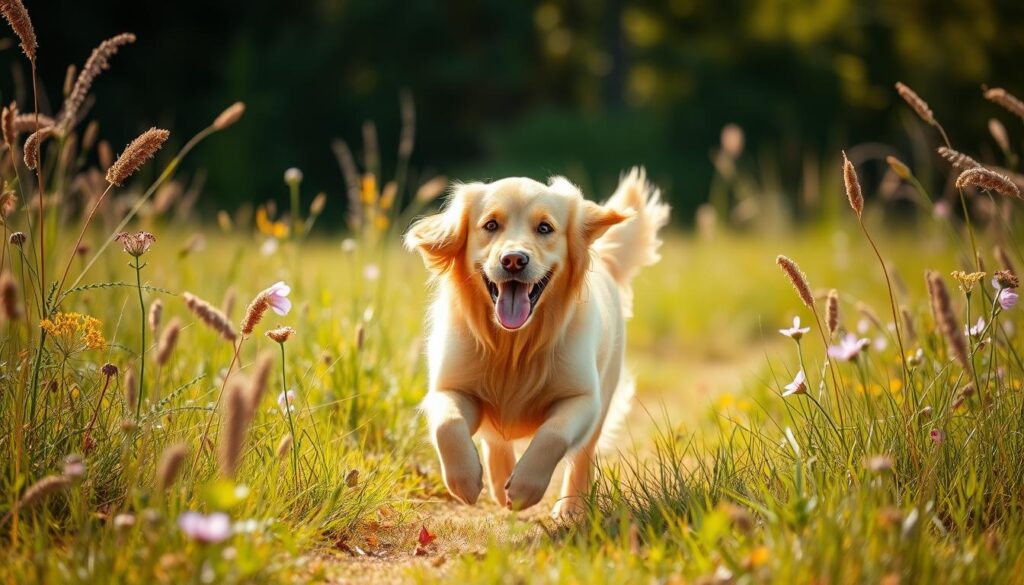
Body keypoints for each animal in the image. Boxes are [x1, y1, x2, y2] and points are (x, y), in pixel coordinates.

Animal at [407, 165, 671, 516]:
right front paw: (464, 480)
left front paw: (524, 488)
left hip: (604, 395)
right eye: (490, 225)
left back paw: (570, 507)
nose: (513, 260)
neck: (513, 344)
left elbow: (553, 435)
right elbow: (448, 424)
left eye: (545, 228)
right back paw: (498, 480)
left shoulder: (584, 399)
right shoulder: (449, 387)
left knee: (582, 455)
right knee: (496, 438)